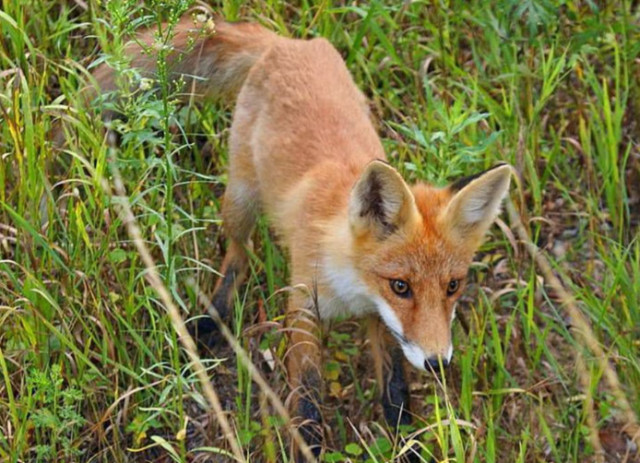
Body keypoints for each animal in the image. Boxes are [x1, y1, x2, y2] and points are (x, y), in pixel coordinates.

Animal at [87, 10, 512, 460]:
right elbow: (307, 400)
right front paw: (308, 447)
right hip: (241, 199)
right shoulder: (304, 306)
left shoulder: (381, 319)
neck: (352, 287)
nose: (437, 362)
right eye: (401, 286)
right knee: (239, 254)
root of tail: (286, 42)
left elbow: (395, 392)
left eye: (452, 286)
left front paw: (407, 445)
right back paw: (213, 318)